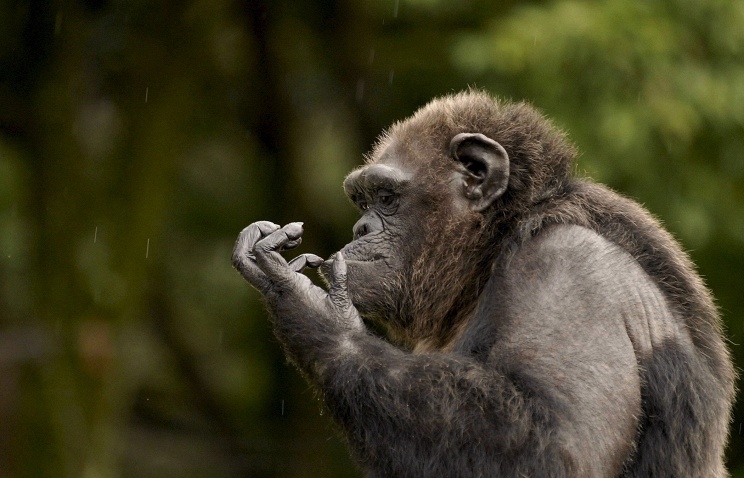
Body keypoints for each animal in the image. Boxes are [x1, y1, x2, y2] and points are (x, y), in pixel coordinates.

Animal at [231, 90, 732, 478]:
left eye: (387, 198)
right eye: (361, 199)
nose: (361, 229)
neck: (491, 247)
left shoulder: (567, 273)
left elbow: (561, 450)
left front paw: (315, 309)